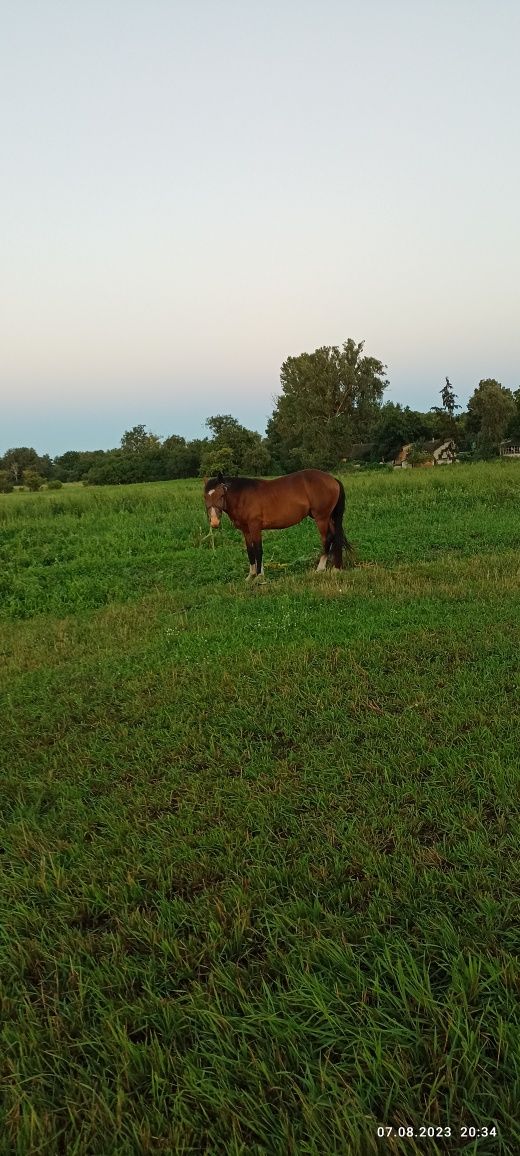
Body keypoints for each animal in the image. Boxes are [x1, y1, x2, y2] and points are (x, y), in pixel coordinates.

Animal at [203, 467, 353, 578]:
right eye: (205, 497)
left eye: (221, 495)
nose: (214, 522)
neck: (243, 496)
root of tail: (332, 479)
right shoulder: (246, 530)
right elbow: (250, 550)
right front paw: (251, 575)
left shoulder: (255, 527)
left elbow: (258, 549)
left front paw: (259, 576)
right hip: (329, 518)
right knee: (335, 537)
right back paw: (336, 568)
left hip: (321, 517)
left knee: (327, 539)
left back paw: (320, 568)